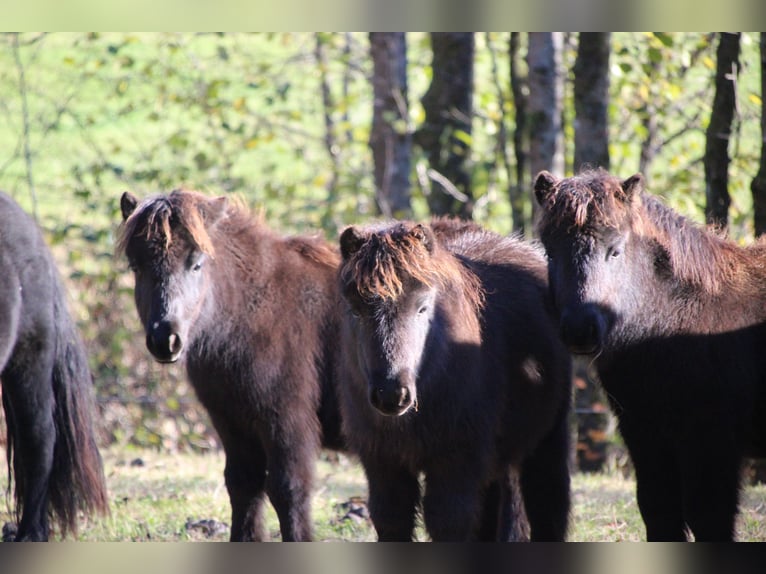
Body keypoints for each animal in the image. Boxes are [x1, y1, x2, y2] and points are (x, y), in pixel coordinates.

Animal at [117, 191, 344, 544]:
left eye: (196, 263)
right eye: (136, 266)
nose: (165, 339)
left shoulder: (287, 421)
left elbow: (289, 490)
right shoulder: (232, 421)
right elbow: (242, 485)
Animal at [340, 218, 572, 544]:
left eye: (423, 307)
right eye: (355, 310)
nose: (391, 394)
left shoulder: (456, 464)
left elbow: (448, 523)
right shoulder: (383, 464)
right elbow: (391, 520)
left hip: (546, 440)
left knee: (548, 505)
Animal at [536, 169, 766, 544]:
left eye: (615, 251)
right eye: (550, 253)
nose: (580, 330)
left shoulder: (711, 444)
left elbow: (709, 518)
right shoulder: (648, 438)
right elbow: (660, 514)